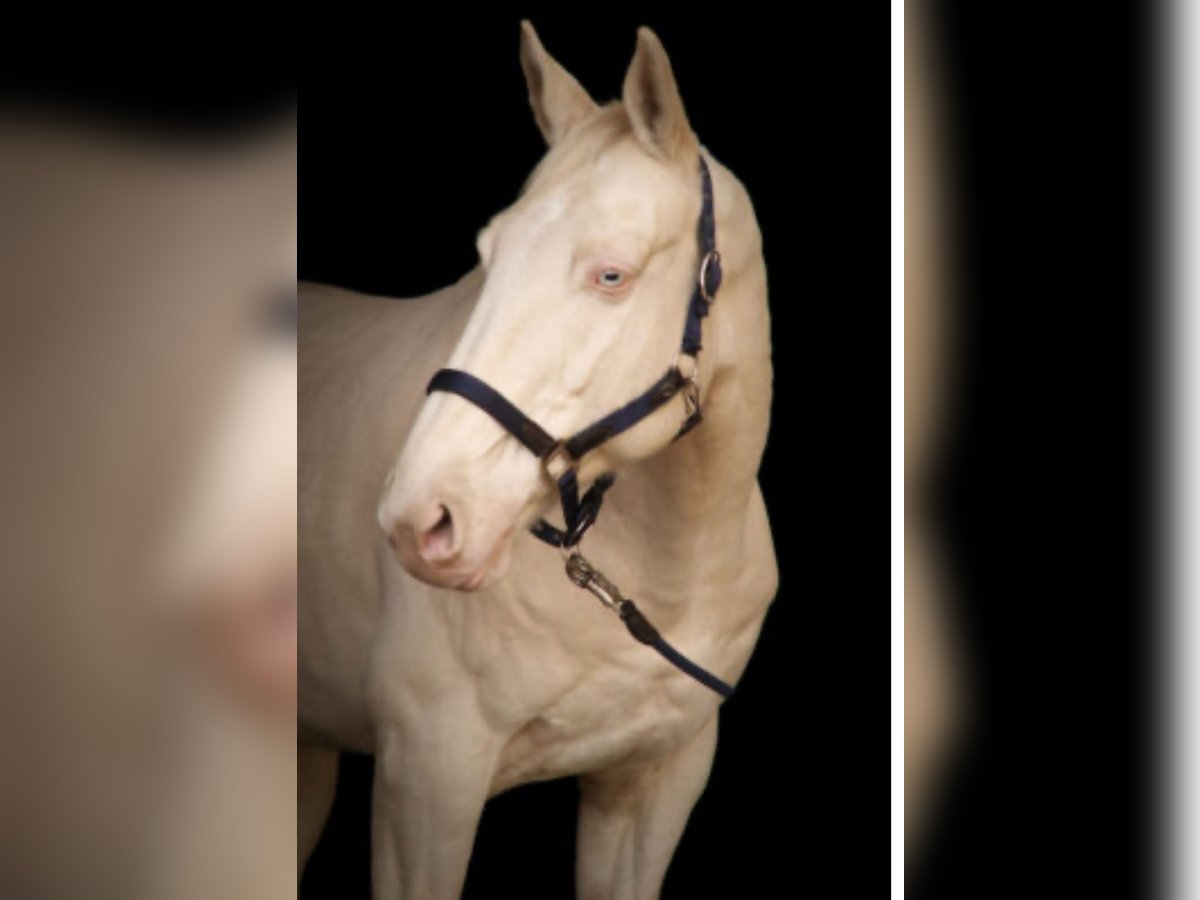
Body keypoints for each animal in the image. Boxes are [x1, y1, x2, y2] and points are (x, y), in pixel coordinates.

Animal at [299, 22, 777, 898]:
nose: (420, 519)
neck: (670, 567)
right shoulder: (427, 783)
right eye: (489, 256)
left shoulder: (655, 783)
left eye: (612, 274)